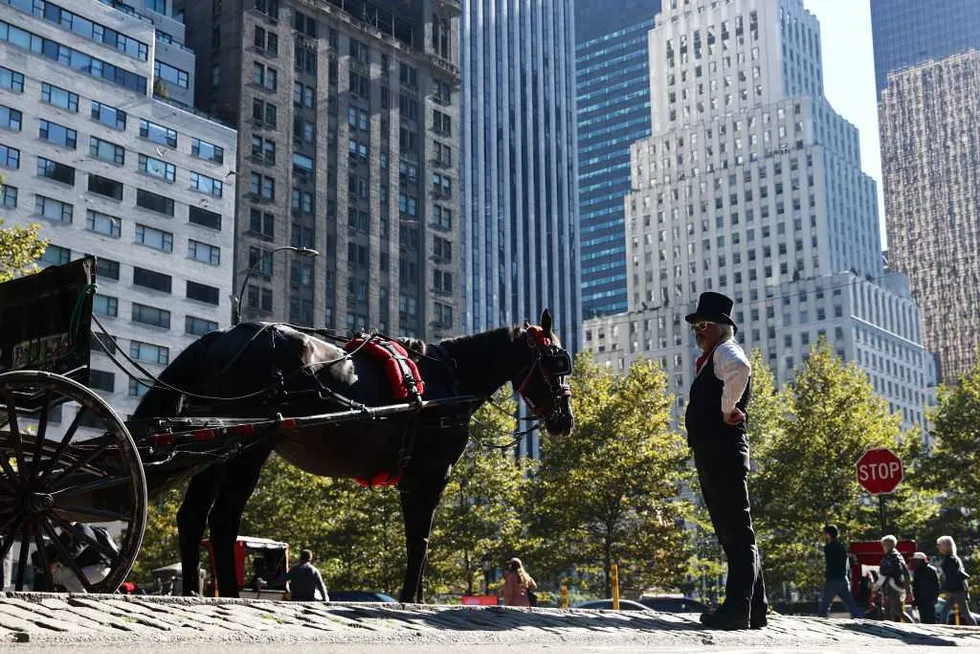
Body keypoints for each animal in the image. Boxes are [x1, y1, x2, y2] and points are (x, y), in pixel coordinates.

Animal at [131, 309, 573, 603]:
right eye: (558, 360)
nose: (565, 419)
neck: (450, 379)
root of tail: (219, 337)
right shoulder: (430, 476)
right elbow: (421, 541)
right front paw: (411, 599)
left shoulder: (414, 481)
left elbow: (417, 542)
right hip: (250, 447)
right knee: (223, 521)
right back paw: (230, 595)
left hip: (218, 446)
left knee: (193, 517)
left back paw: (193, 592)